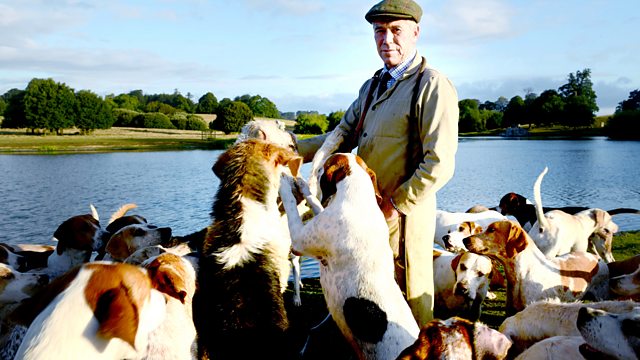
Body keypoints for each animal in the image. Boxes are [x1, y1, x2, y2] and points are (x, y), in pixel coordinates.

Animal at [278, 153, 418, 360]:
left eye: (325, 164)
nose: (316, 166)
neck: (358, 200)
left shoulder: (298, 240)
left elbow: (290, 204)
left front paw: (284, 183)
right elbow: (315, 202)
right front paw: (303, 186)